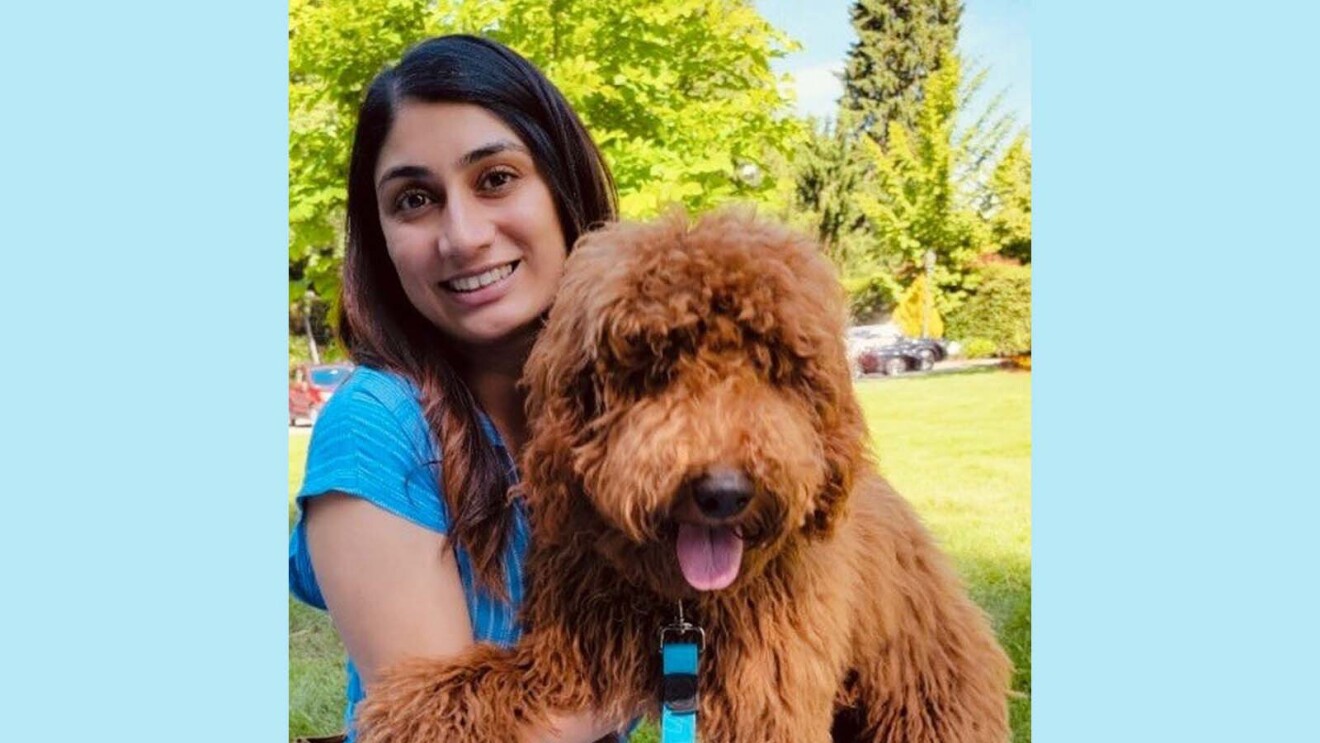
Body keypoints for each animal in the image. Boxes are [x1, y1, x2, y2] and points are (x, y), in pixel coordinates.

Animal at [353, 205, 1008, 739]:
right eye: (652, 368)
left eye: (772, 367)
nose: (723, 492)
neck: (683, 609)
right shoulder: (575, 651)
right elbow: (491, 680)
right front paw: (416, 710)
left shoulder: (766, 696)